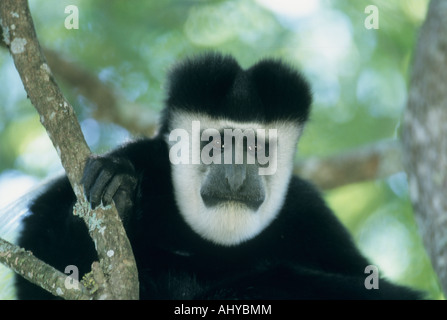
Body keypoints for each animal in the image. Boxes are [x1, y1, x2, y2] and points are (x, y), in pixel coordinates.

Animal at [14, 53, 420, 300]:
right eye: (215, 143)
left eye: (257, 147)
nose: (237, 175)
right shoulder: (141, 156)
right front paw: (120, 187)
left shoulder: (311, 214)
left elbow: (382, 289)